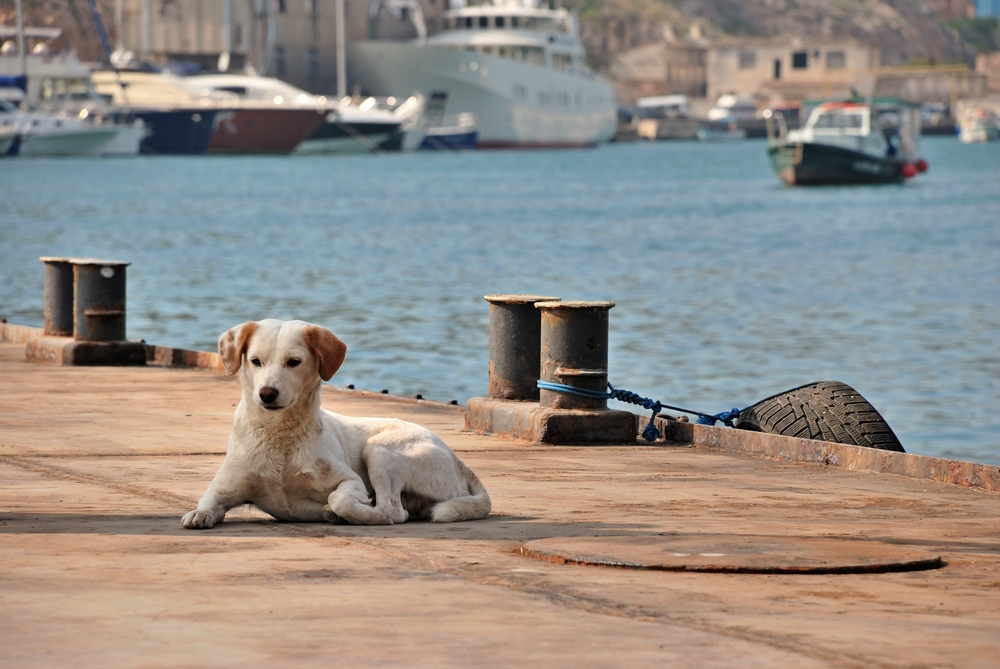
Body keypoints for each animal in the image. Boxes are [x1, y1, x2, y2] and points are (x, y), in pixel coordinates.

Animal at [183, 318, 492, 528]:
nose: (267, 393)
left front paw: (341, 510)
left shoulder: (349, 480)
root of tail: (459, 462)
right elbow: (207, 501)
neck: (279, 435)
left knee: (394, 511)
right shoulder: (225, 486)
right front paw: (199, 514)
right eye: (255, 361)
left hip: (380, 451)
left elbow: (340, 499)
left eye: (293, 362)